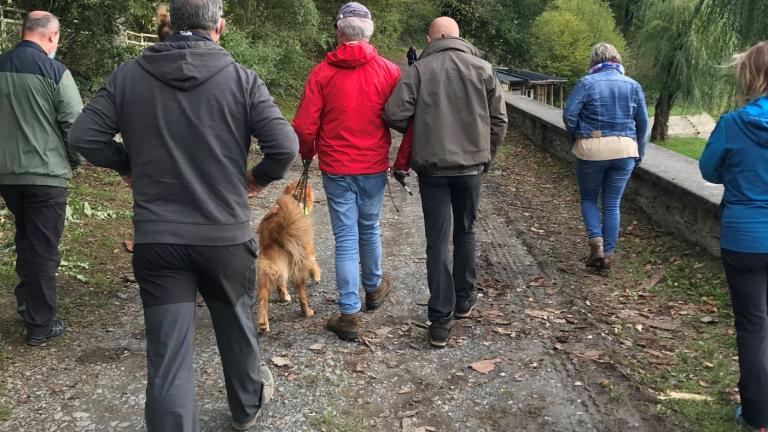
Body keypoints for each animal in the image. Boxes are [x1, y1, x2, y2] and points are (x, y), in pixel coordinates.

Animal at [256, 184, 320, 332]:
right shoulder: (307, 250)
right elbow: (313, 263)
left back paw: (263, 323)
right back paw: (307, 312)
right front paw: (316, 275)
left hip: (268, 264)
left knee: (265, 295)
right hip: (298, 264)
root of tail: (276, 227)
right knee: (302, 295)